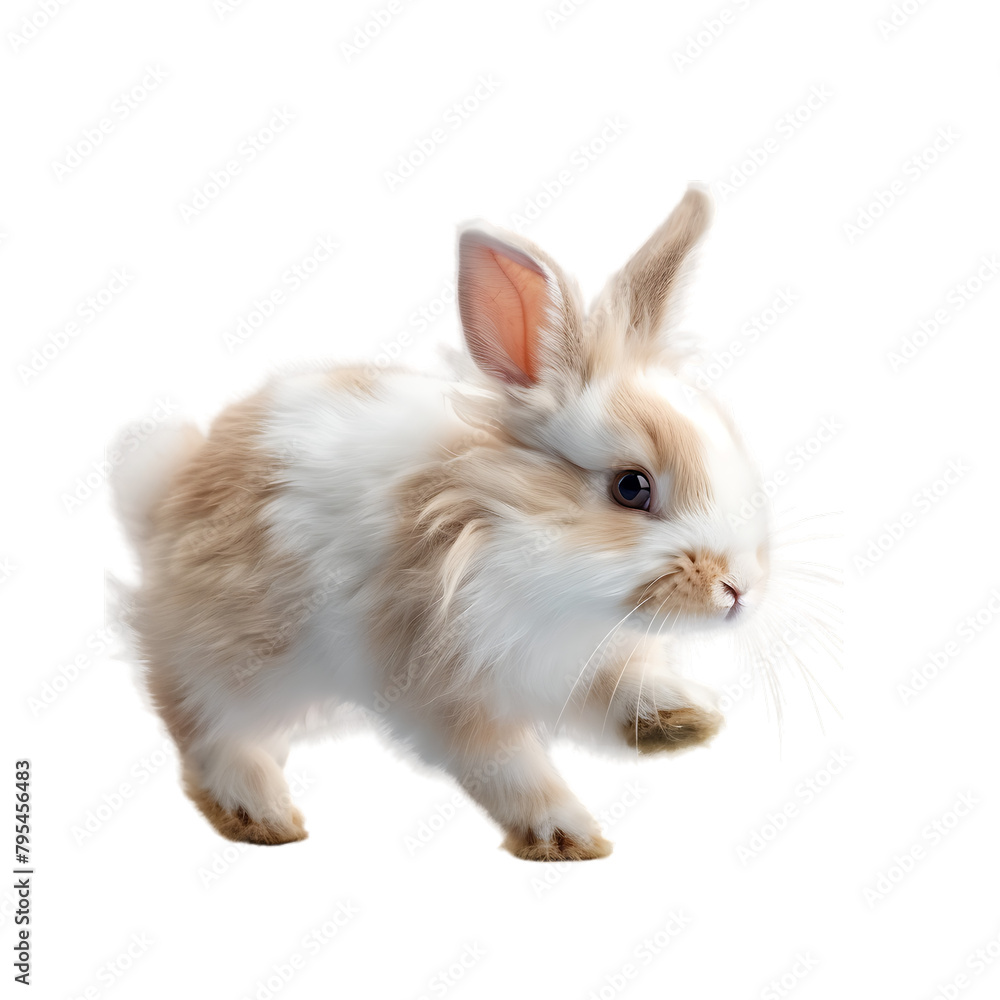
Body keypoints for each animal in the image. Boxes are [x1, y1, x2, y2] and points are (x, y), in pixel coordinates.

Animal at [112, 185, 770, 861]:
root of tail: (165, 502)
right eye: (631, 488)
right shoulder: (444, 692)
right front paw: (566, 834)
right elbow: (508, 766)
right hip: (230, 663)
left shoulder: (591, 661)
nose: (740, 589)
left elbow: (627, 686)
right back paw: (262, 813)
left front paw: (685, 721)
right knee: (203, 727)